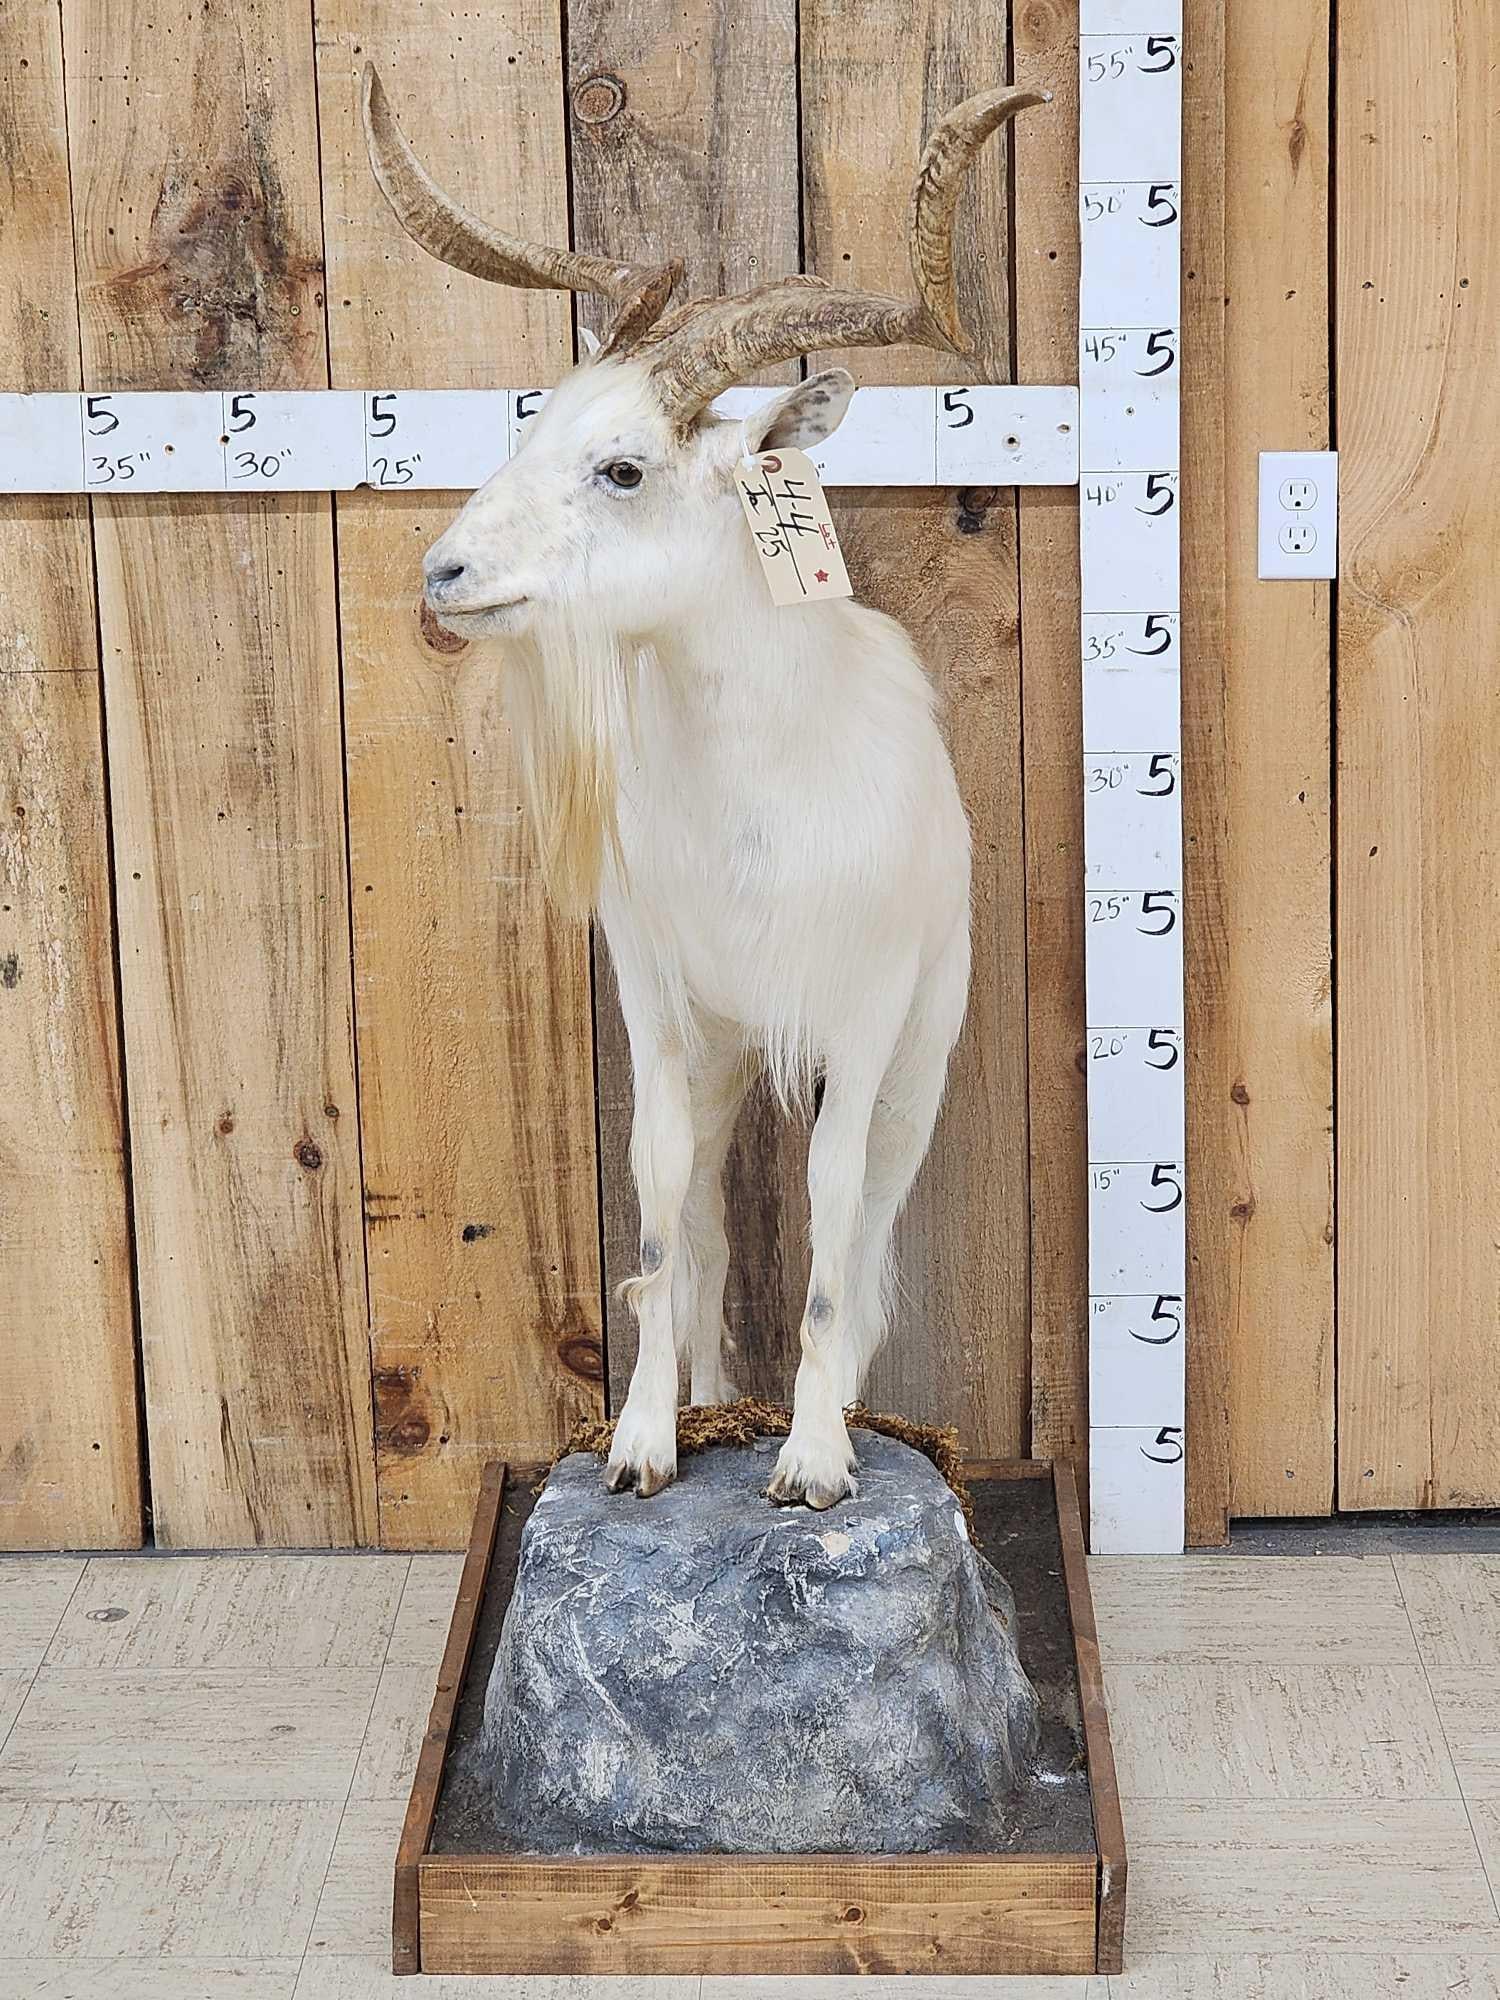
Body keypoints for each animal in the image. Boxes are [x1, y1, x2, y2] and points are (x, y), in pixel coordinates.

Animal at [363, 69, 1045, 1509]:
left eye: (624, 466)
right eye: (537, 423)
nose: (445, 573)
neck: (758, 813)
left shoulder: (858, 1020)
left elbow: (834, 1229)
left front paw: (815, 1456)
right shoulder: (665, 1010)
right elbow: (665, 1217)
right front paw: (643, 1441)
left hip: (917, 1054)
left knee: (867, 1220)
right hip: (732, 1054)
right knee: (714, 1230)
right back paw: (713, 1397)